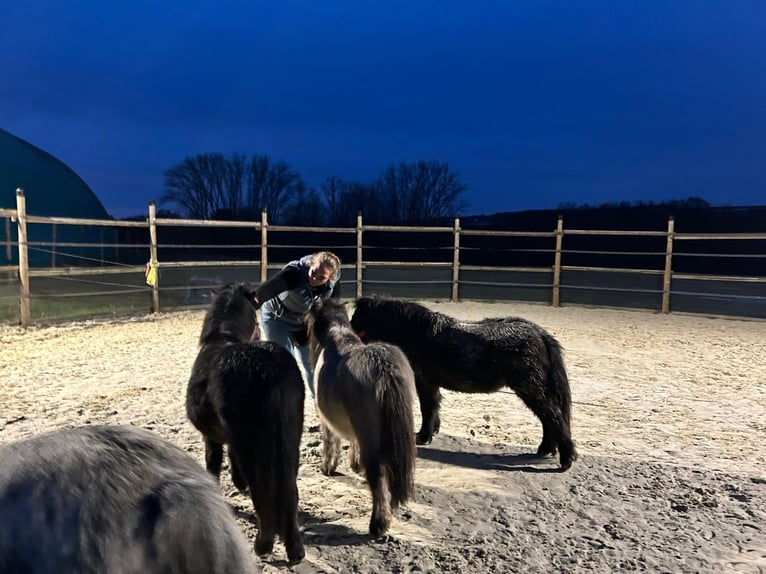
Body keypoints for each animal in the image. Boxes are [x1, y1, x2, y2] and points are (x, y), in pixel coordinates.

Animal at [186, 281, 306, 564]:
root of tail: (269, 369)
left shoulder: (213, 437)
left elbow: (214, 463)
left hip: (254, 447)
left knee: (262, 491)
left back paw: (263, 546)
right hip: (289, 442)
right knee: (289, 490)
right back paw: (294, 549)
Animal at [304, 298, 417, 538]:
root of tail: (383, 368)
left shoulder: (326, 419)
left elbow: (330, 442)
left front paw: (328, 467)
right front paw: (354, 464)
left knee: (378, 476)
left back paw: (378, 524)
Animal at [350, 295, 578, 471]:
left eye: (356, 317)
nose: (348, 332)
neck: (416, 333)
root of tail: (540, 333)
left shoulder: (424, 381)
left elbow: (427, 407)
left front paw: (423, 437)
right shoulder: (431, 383)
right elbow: (434, 407)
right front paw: (432, 432)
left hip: (530, 388)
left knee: (553, 416)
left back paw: (566, 459)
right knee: (548, 418)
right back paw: (545, 450)